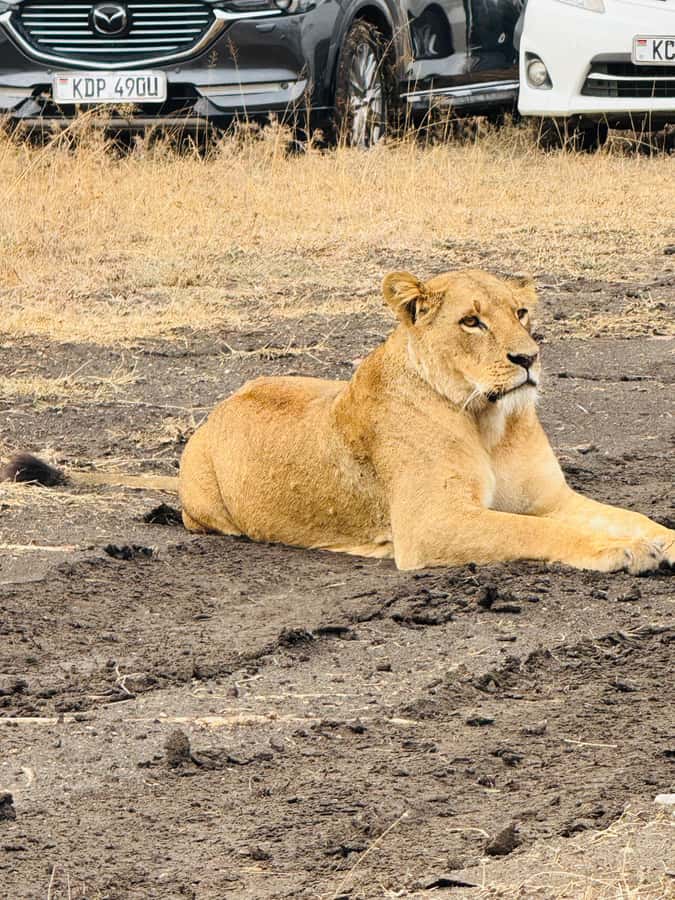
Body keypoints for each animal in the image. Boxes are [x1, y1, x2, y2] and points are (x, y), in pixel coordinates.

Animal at [3, 269, 673, 574]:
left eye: (522, 312)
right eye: (471, 321)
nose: (528, 359)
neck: (489, 420)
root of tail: (215, 412)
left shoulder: (550, 498)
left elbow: (626, 516)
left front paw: (654, 537)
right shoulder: (431, 526)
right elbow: (535, 534)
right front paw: (622, 552)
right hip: (215, 514)